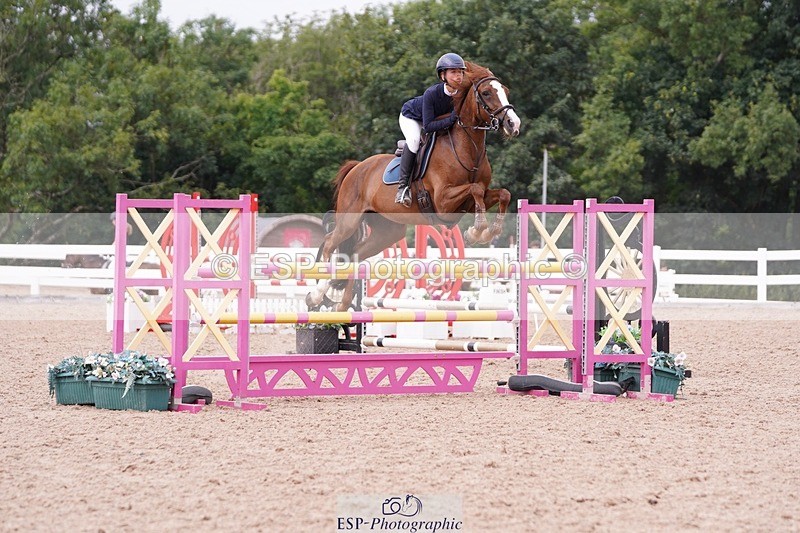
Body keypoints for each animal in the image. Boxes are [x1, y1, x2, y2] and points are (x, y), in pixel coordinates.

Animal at [307, 61, 521, 312]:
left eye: (505, 90)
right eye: (487, 93)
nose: (513, 124)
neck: (467, 149)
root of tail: (356, 167)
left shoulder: (469, 201)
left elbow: (502, 194)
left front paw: (487, 231)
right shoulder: (443, 201)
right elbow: (475, 189)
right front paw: (477, 231)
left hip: (387, 230)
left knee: (356, 255)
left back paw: (342, 306)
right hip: (349, 220)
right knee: (331, 243)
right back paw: (316, 295)